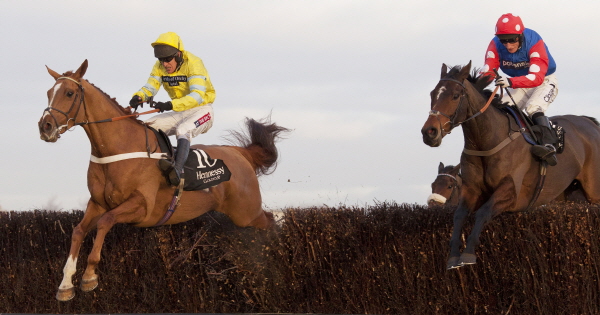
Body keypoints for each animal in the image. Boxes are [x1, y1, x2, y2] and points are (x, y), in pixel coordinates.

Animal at [39, 60, 288, 302]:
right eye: (49, 92)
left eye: (69, 93)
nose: (45, 126)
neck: (118, 148)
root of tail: (241, 153)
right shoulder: (98, 203)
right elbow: (78, 231)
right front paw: (65, 285)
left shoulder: (141, 206)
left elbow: (105, 222)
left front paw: (90, 276)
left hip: (246, 213)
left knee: (270, 220)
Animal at [420, 61, 600, 270]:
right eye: (432, 94)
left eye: (455, 95)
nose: (429, 132)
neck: (487, 140)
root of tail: (589, 122)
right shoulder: (471, 190)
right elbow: (459, 215)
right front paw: (453, 257)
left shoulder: (510, 192)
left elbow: (482, 213)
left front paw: (468, 254)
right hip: (566, 195)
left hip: (593, 191)